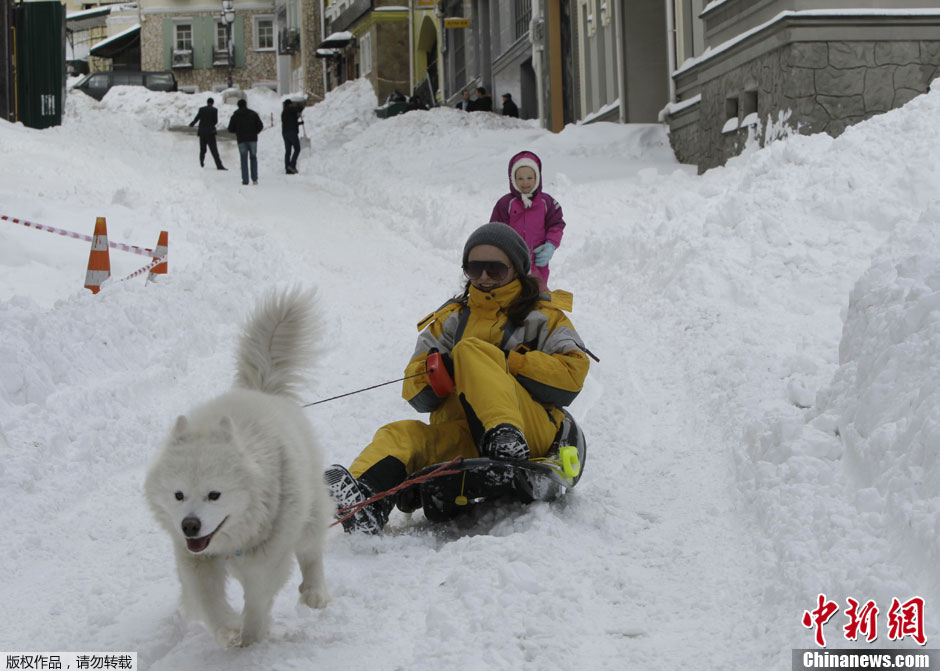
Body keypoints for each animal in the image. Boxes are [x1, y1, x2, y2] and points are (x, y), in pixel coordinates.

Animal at [141, 286, 328, 648]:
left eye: (214, 495)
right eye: (178, 495)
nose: (189, 526)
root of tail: (261, 391)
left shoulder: (266, 560)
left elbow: (257, 600)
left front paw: (251, 641)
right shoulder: (195, 558)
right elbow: (208, 600)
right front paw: (227, 630)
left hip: (309, 517)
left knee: (311, 552)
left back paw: (315, 592)